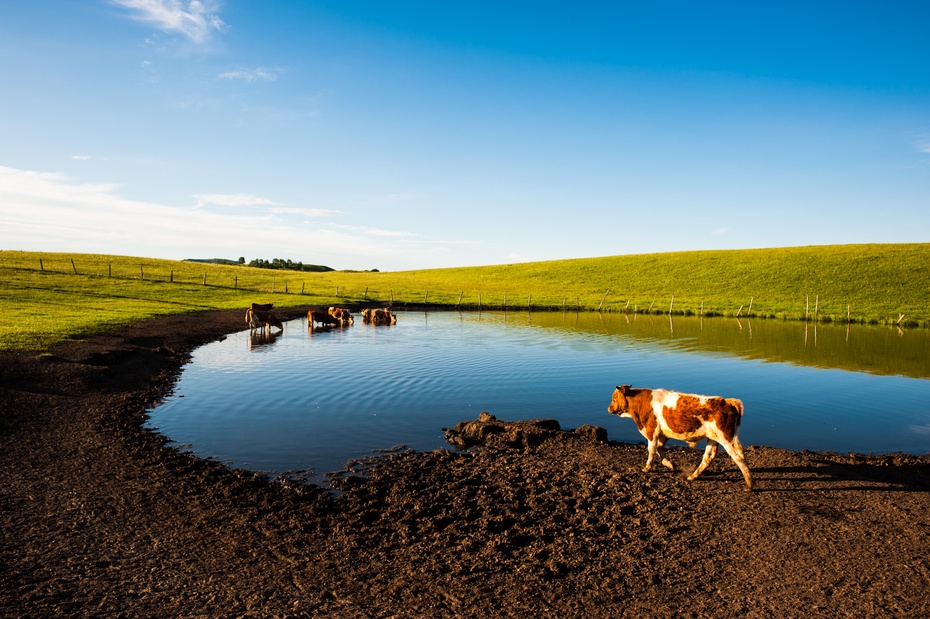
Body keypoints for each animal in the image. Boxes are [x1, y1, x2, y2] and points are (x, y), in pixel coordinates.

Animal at [604, 386, 752, 492]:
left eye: (614, 398)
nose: (609, 408)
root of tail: (729, 401)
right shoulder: (663, 434)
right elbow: (659, 448)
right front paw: (670, 464)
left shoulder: (652, 431)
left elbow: (651, 450)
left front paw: (647, 467)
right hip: (713, 438)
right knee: (708, 457)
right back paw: (693, 476)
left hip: (727, 438)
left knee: (738, 457)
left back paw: (749, 484)